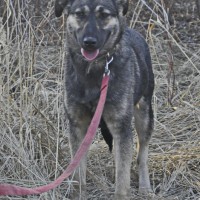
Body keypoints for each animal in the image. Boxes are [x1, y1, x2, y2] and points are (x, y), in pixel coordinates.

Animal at [54, 0, 155, 199]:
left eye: (104, 15)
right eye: (80, 14)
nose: (89, 43)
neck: (95, 70)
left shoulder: (121, 126)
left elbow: (122, 180)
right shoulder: (78, 125)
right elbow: (78, 173)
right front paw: (78, 193)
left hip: (144, 115)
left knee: (142, 154)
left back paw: (145, 187)